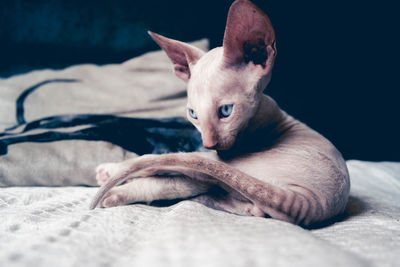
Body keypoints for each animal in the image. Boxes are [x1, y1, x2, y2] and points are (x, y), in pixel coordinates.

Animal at [89, 0, 348, 227]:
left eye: (226, 111)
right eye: (193, 114)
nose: (209, 142)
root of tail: (313, 202)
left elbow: (167, 168)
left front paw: (116, 174)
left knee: (175, 173)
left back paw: (115, 185)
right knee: (242, 203)